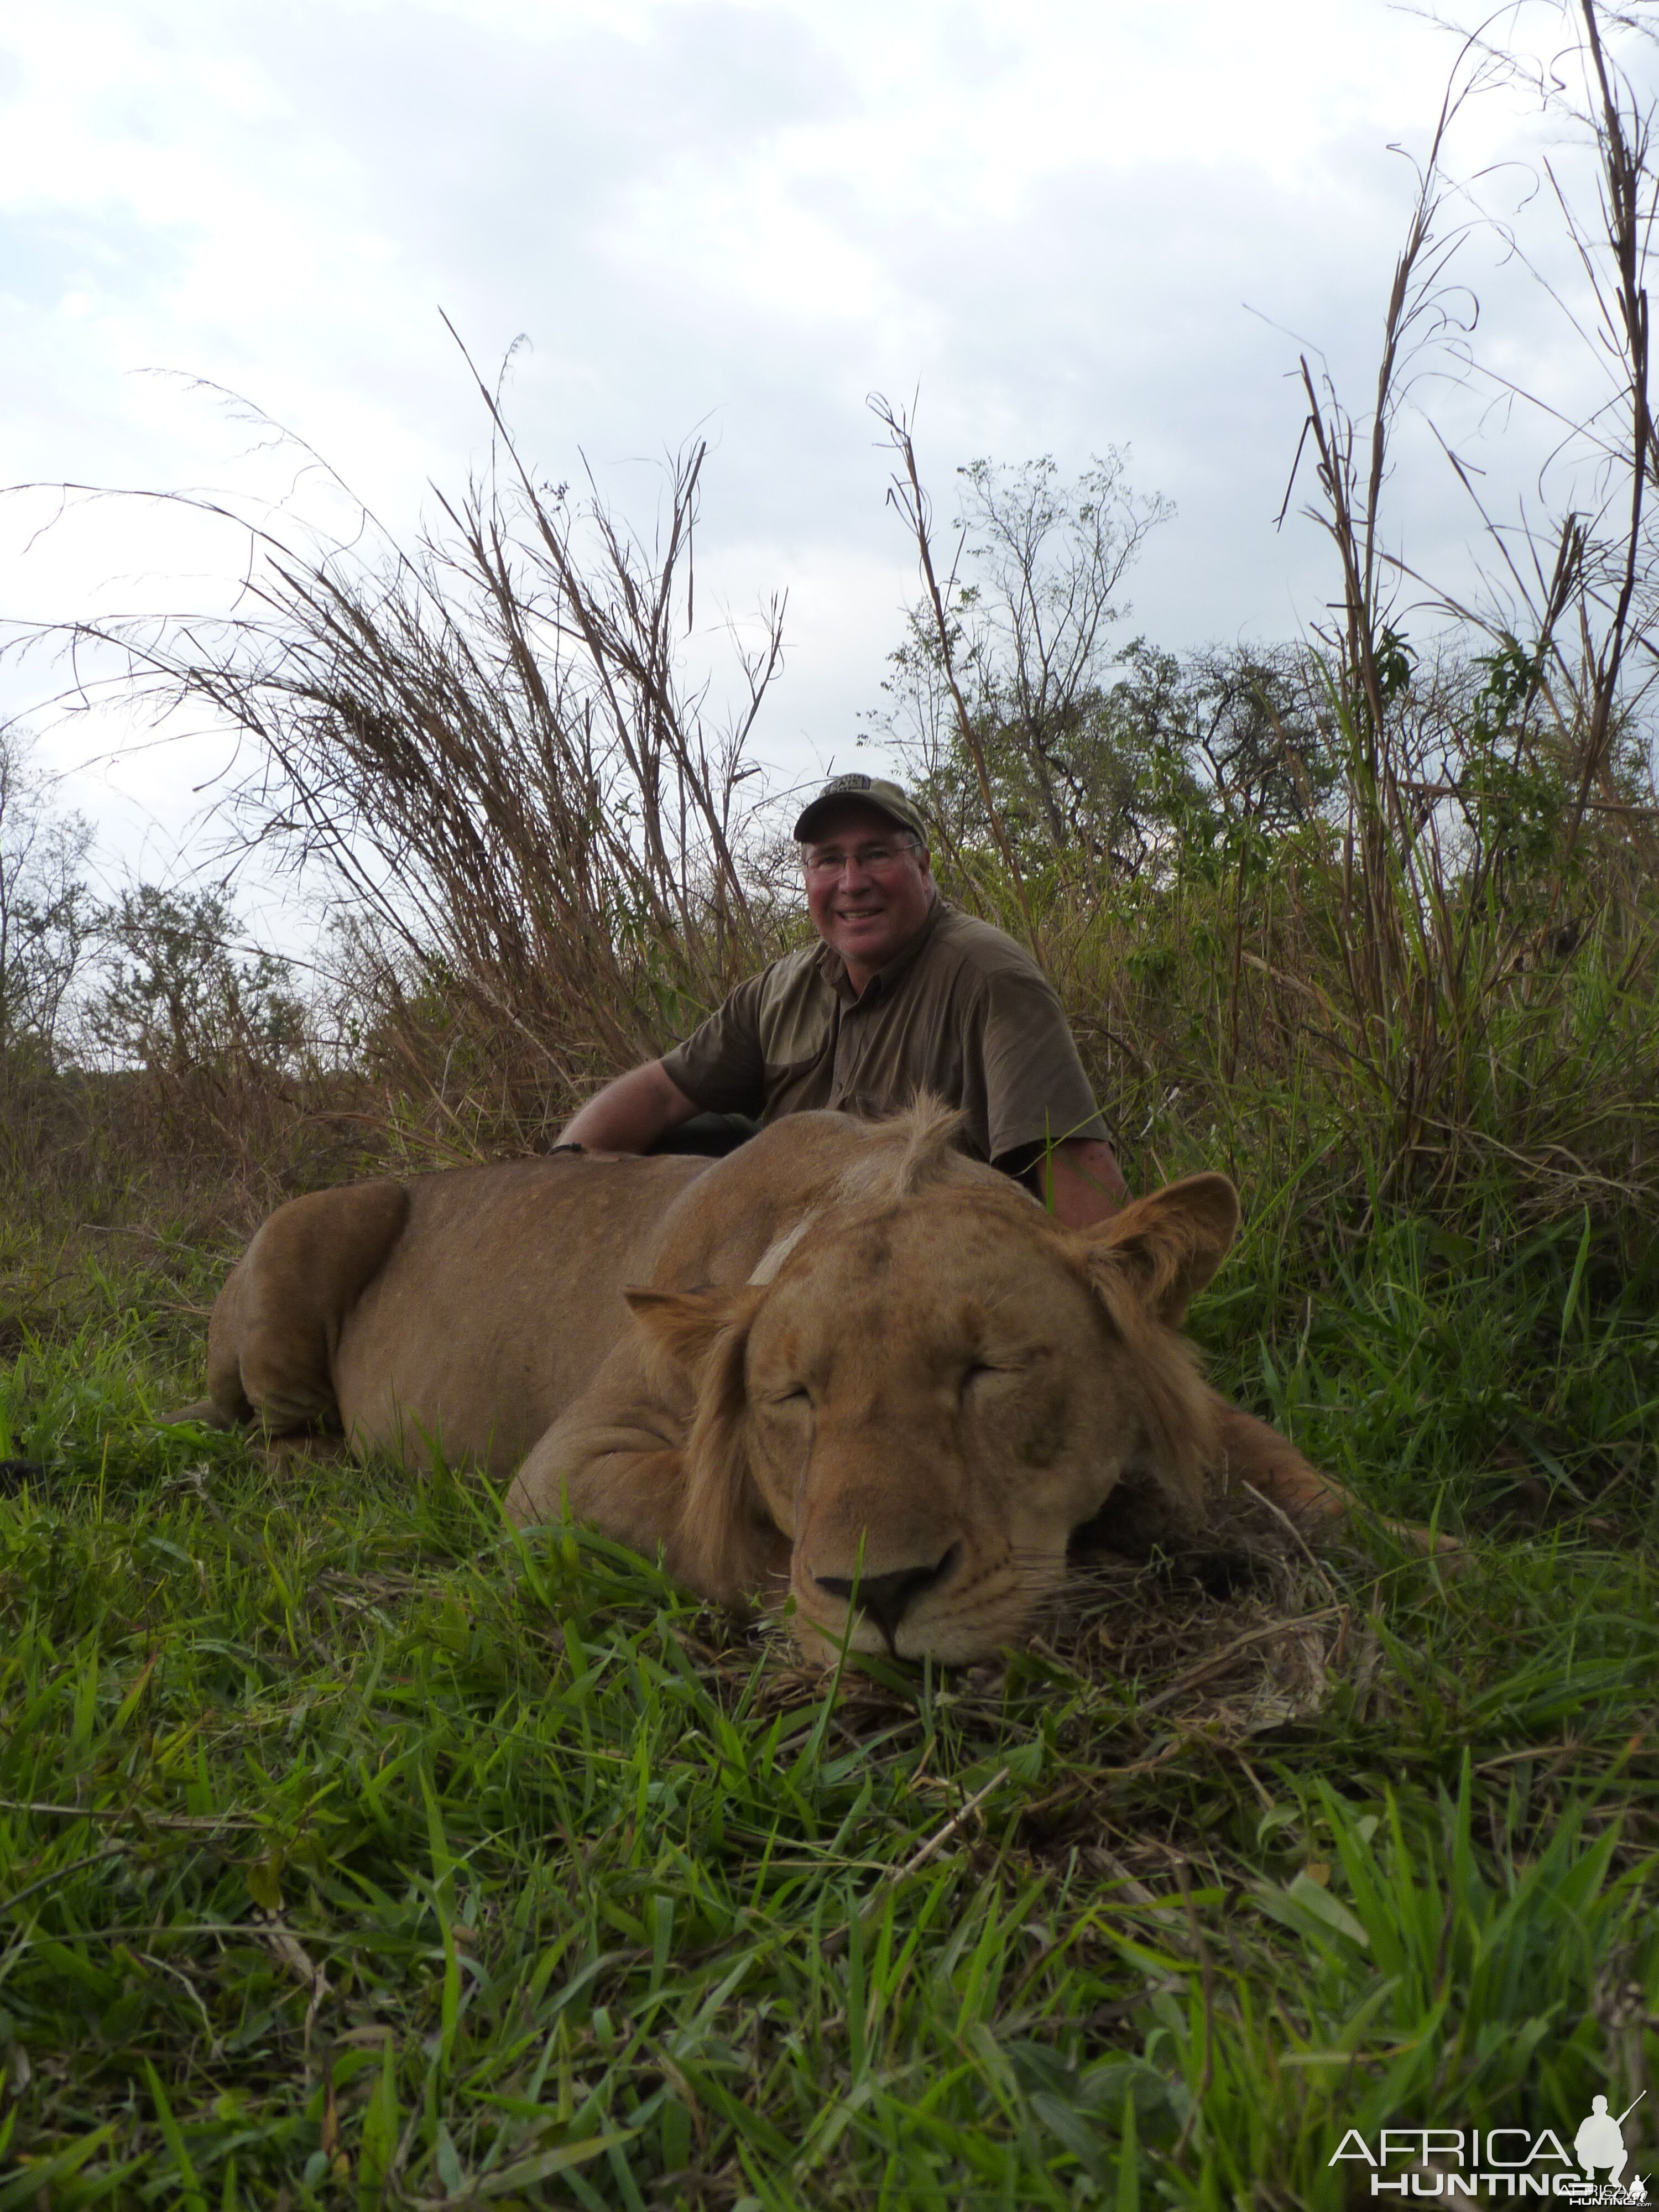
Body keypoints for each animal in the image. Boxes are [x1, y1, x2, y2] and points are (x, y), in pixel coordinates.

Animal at [166, 1106, 1354, 1663]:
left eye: (989, 1370)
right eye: (795, 1399)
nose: (885, 1597)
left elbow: (1290, 1469)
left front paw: (1374, 1542)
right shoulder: (563, 1470)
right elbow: (729, 1525)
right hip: (313, 1224)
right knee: (271, 1435)